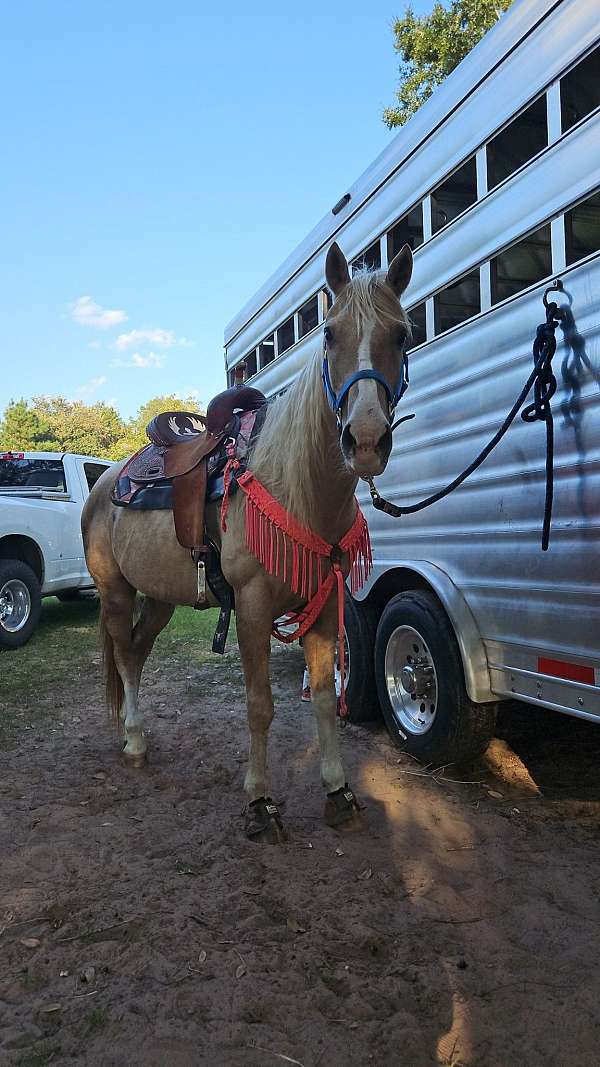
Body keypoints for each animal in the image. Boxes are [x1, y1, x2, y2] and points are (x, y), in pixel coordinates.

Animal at [82, 242, 409, 840]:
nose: (366, 440)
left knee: (136, 653)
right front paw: (260, 801)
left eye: (399, 334)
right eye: (329, 334)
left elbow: (324, 700)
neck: (293, 483)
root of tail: (103, 483)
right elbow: (260, 706)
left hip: (160, 598)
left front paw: (339, 791)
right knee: (122, 656)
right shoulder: (253, 609)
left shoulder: (323, 607)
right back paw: (134, 739)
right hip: (115, 592)